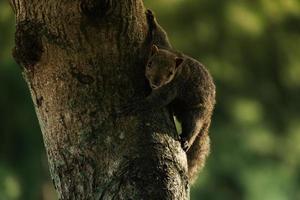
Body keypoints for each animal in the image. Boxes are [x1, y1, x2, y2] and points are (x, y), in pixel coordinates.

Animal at [118, 10, 216, 184]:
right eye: (149, 64)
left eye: (170, 73)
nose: (155, 82)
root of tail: (209, 114)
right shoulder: (163, 46)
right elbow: (161, 34)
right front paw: (151, 18)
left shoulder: (171, 88)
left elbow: (157, 101)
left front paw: (136, 105)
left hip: (197, 112)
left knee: (194, 126)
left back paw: (187, 140)